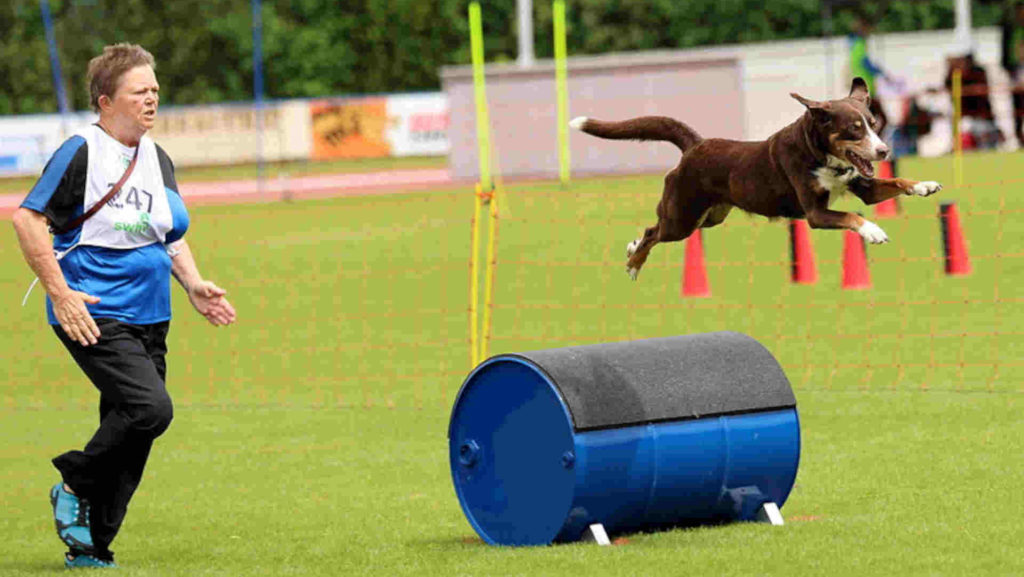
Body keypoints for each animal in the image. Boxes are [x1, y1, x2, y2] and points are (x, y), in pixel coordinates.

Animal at [573, 77, 937, 280]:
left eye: (874, 124)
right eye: (854, 129)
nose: (884, 151)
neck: (819, 155)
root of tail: (696, 145)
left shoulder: (864, 187)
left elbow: (895, 185)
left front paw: (924, 185)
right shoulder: (816, 214)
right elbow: (850, 215)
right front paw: (873, 231)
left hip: (709, 217)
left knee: (654, 229)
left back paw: (632, 248)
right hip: (683, 216)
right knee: (655, 232)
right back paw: (634, 262)